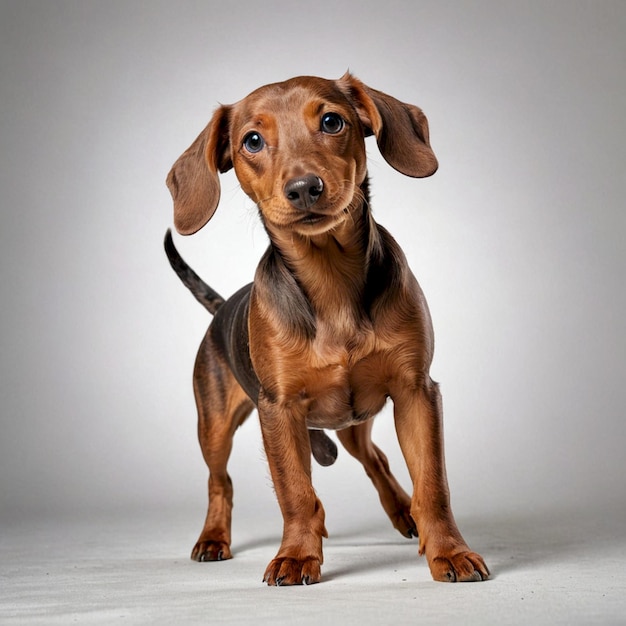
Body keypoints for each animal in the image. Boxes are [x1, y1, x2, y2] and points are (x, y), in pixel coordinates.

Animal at [165, 73, 488, 584]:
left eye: (332, 122)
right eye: (252, 141)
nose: (304, 188)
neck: (330, 280)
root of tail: (222, 308)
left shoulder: (416, 392)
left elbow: (433, 485)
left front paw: (449, 551)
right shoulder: (279, 411)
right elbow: (296, 493)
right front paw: (297, 554)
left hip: (355, 420)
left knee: (375, 459)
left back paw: (403, 512)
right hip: (213, 426)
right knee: (220, 481)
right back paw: (213, 538)